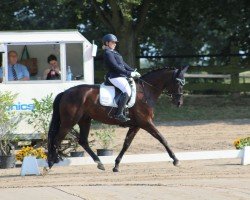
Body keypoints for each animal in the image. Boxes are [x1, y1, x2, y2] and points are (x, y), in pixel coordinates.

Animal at [47, 66, 188, 172]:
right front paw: (176, 160)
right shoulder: (146, 122)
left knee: (82, 141)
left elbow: (126, 144)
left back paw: (99, 163)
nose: (179, 103)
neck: (146, 92)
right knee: (57, 139)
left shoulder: (136, 125)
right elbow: (162, 138)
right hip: (69, 121)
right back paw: (51, 163)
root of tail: (65, 92)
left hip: (84, 120)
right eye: (177, 82)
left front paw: (116, 165)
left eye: (183, 83)